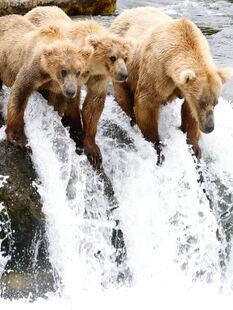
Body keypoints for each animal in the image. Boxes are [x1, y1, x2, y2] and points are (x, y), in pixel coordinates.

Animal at [0, 14, 93, 150]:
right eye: (63, 71)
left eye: (78, 72)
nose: (71, 91)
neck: (48, 74)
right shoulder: (33, 70)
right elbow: (19, 95)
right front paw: (19, 139)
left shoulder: (56, 86)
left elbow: (57, 103)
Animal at [25, 6, 133, 167]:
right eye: (112, 57)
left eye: (125, 57)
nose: (124, 74)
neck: (91, 66)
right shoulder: (70, 72)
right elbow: (71, 100)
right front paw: (76, 133)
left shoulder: (99, 77)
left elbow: (93, 105)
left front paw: (93, 151)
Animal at [110, 6, 233, 161]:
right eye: (202, 103)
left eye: (216, 103)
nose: (209, 127)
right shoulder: (156, 72)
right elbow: (146, 104)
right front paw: (156, 146)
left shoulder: (183, 88)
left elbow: (189, 111)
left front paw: (195, 147)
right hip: (122, 65)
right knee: (123, 93)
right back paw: (130, 117)